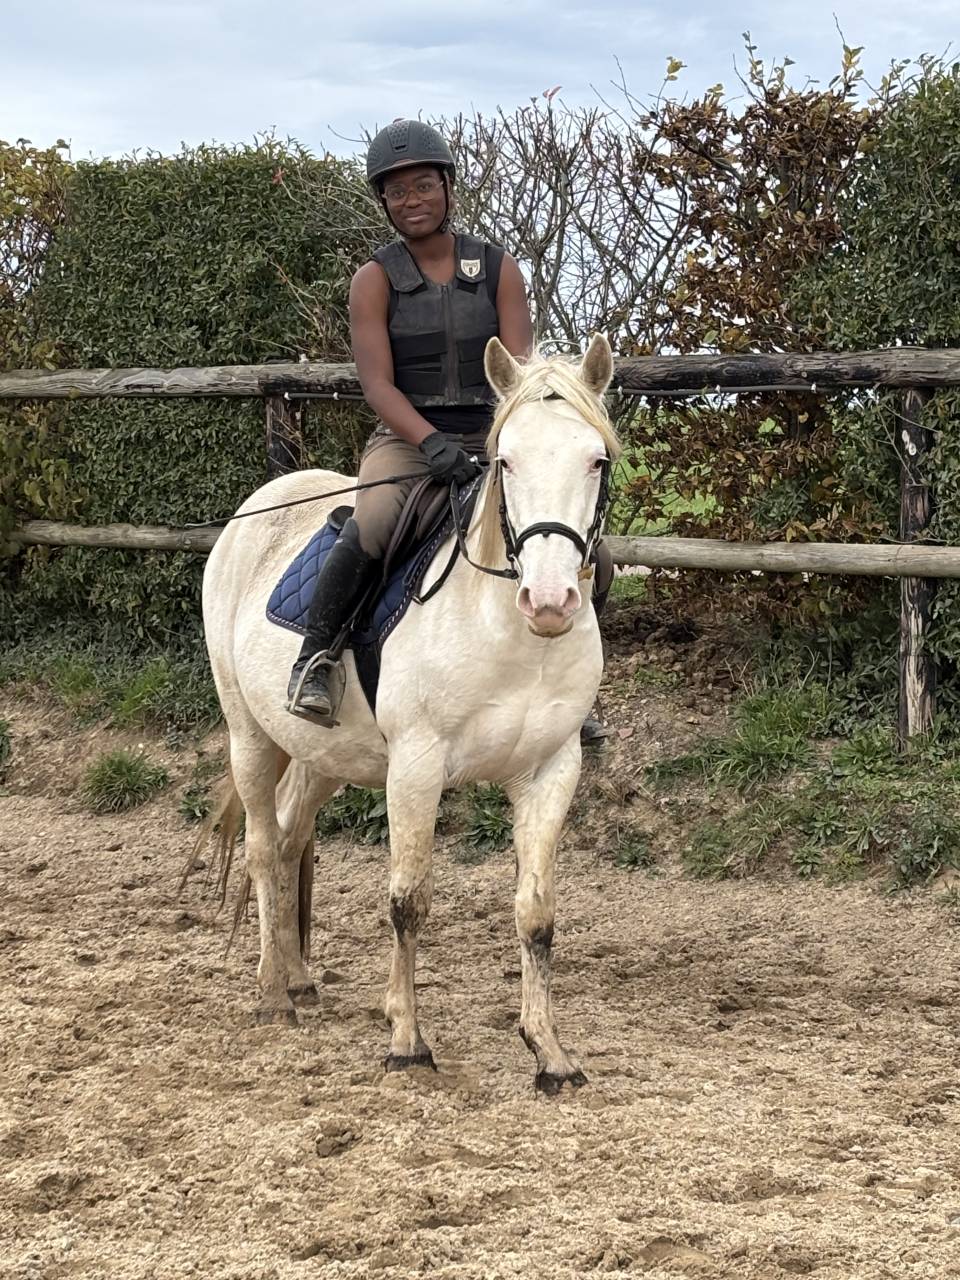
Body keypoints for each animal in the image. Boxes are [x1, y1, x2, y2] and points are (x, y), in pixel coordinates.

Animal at [195, 334, 619, 1094]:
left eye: (595, 460)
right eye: (505, 460)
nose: (549, 602)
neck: (509, 635)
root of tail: (259, 506)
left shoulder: (550, 771)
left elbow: (536, 915)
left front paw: (549, 1052)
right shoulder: (416, 768)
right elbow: (408, 900)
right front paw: (406, 1040)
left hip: (326, 754)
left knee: (294, 834)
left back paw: (299, 979)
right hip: (252, 737)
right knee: (265, 848)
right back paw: (273, 995)